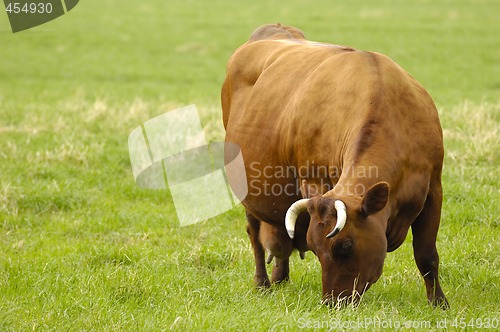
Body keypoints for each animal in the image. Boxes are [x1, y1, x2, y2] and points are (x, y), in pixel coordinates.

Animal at [223, 23, 450, 308]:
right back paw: (262, 283)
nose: (331, 303)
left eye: (345, 246)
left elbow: (426, 254)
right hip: (247, 192)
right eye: (316, 249)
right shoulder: (315, 180)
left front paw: (439, 303)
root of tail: (275, 29)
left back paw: (280, 277)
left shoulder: (434, 189)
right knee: (254, 235)